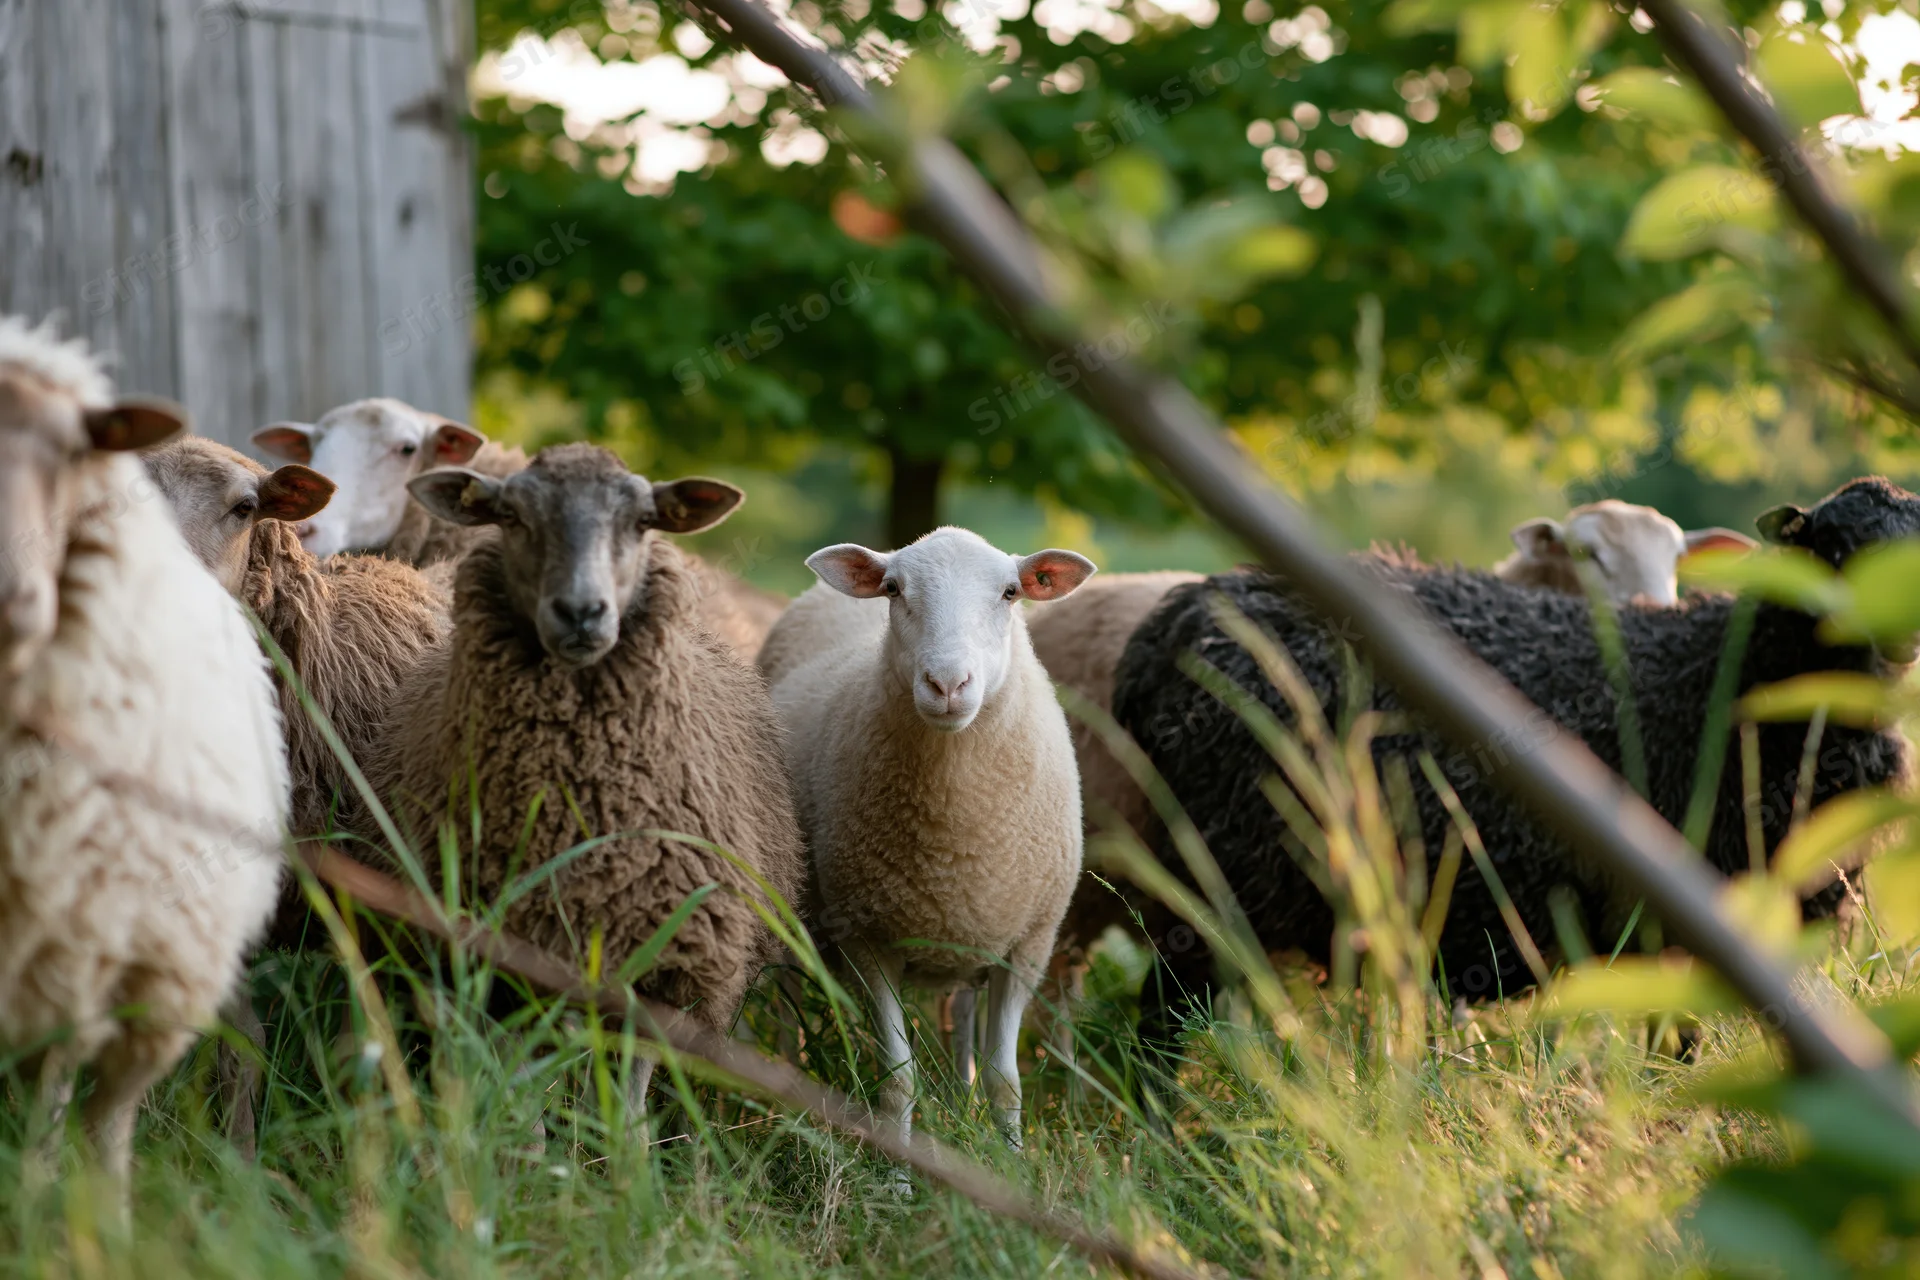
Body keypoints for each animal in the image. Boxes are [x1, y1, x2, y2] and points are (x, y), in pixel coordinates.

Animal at [361, 443, 806, 1110]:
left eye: (643, 520)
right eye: (512, 516)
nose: (580, 612)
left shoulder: (668, 967)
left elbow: (630, 1101)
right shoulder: (504, 963)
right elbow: (523, 1094)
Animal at [762, 527, 1094, 1152]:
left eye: (1011, 592)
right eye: (893, 589)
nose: (947, 684)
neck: (956, 831)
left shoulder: (1027, 946)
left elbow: (1006, 1082)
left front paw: (1012, 1160)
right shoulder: (868, 940)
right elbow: (898, 1080)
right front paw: (896, 1169)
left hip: (971, 931)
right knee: (783, 1006)